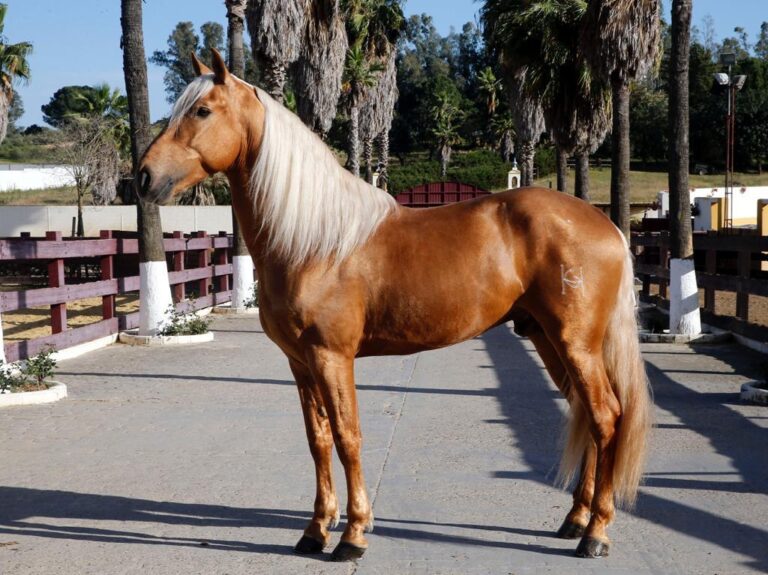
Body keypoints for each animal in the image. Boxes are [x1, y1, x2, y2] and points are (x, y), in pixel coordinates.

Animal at [138, 50, 651, 562]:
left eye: (203, 111)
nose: (143, 177)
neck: (314, 241)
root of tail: (607, 225)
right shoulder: (300, 362)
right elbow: (318, 440)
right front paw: (315, 530)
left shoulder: (332, 356)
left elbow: (347, 437)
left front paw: (352, 535)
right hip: (548, 340)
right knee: (587, 415)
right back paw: (575, 519)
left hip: (575, 343)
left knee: (605, 416)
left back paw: (595, 533)